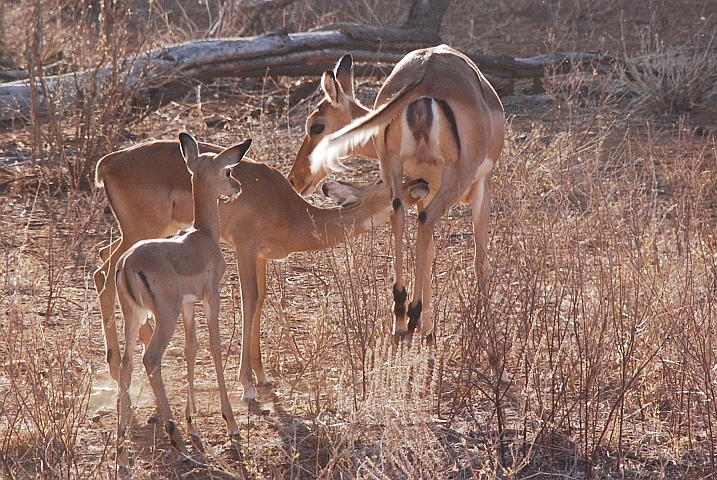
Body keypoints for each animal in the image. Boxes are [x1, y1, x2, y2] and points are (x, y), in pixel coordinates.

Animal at [94, 139, 430, 404]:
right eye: (383, 181)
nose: (421, 184)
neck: (290, 212)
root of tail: (107, 162)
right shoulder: (245, 246)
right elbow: (249, 300)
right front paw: (248, 387)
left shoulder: (260, 256)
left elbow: (260, 300)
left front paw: (262, 375)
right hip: (141, 231)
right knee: (104, 274)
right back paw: (116, 370)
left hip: (146, 234)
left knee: (103, 261)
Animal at [115, 133, 249, 465]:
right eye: (228, 170)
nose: (238, 187)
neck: (203, 236)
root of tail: (127, 262)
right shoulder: (210, 297)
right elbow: (214, 347)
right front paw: (232, 426)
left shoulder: (189, 303)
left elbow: (191, 348)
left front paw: (194, 425)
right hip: (165, 314)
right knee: (151, 358)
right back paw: (174, 437)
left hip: (134, 315)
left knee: (126, 363)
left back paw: (121, 444)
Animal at [287, 45, 505, 359]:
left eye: (317, 126)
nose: (294, 179)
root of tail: (427, 75)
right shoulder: (479, 188)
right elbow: (480, 261)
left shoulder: (424, 188)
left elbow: (429, 253)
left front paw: (430, 339)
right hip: (455, 178)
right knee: (425, 223)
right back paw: (410, 316)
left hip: (393, 171)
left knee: (399, 214)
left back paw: (401, 320)